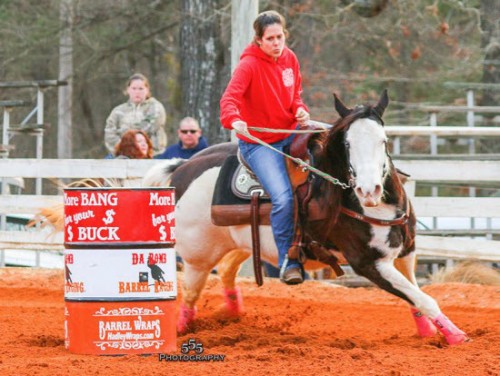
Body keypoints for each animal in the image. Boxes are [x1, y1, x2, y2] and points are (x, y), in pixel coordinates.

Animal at [145, 91, 468, 346]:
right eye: (347, 144)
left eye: (383, 141)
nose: (369, 189)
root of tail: (183, 166)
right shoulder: (368, 263)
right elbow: (424, 298)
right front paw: (456, 336)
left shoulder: (406, 254)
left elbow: (416, 296)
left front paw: (430, 332)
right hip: (198, 255)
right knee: (190, 293)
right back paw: (183, 329)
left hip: (239, 243)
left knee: (225, 271)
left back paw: (233, 317)